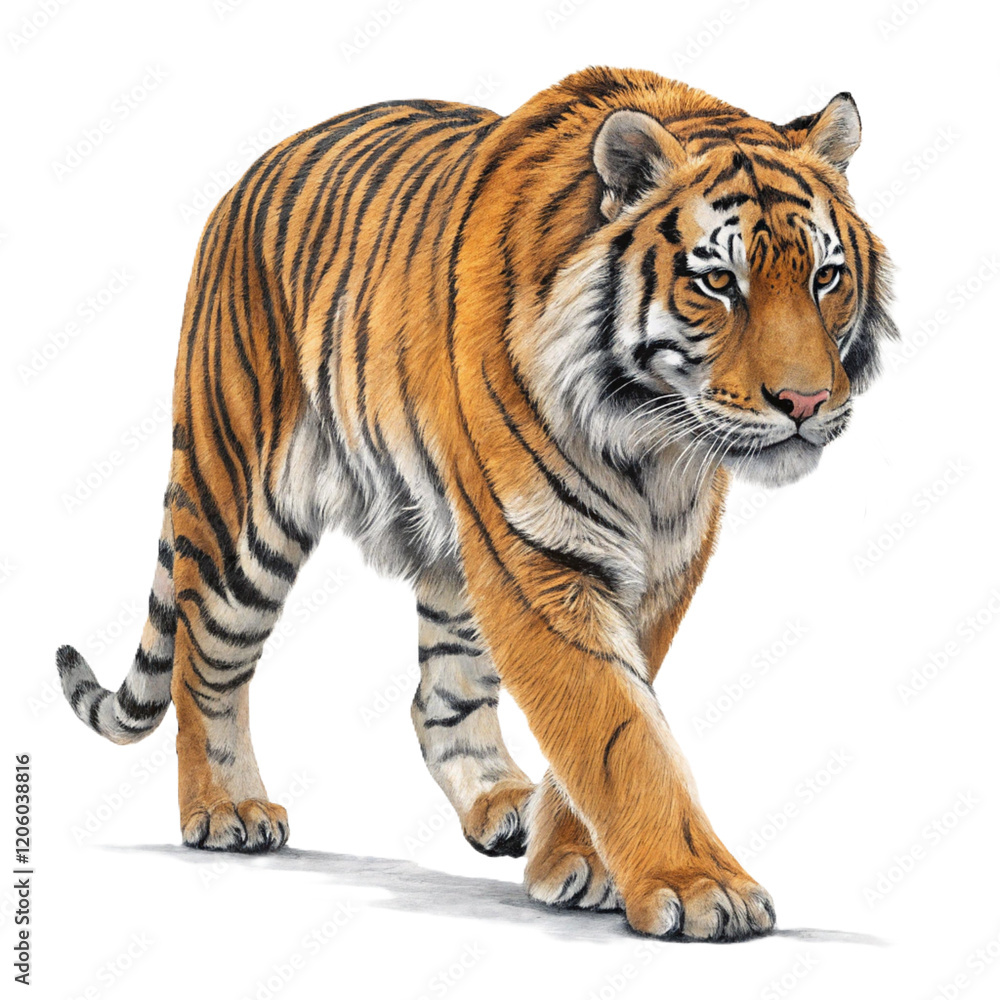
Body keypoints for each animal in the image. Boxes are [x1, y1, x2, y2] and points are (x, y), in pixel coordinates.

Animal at [56, 65, 895, 941]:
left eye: (825, 277)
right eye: (718, 281)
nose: (806, 402)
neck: (653, 436)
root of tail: (246, 181)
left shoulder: (658, 568)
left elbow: (605, 721)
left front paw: (577, 864)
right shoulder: (541, 560)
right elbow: (616, 728)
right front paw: (700, 886)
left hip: (458, 553)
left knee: (439, 695)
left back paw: (501, 804)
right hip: (241, 513)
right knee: (204, 664)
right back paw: (227, 811)